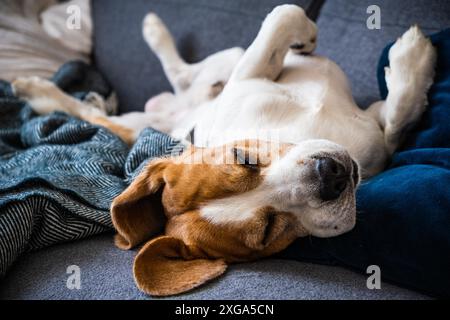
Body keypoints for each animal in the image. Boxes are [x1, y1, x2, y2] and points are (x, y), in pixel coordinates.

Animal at [12, 4, 436, 298]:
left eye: (242, 158)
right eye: (269, 231)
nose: (330, 176)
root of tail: (174, 114)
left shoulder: (254, 75)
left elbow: (284, 15)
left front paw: (406, 63)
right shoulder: (376, 144)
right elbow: (395, 125)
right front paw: (414, 61)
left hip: (227, 59)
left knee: (183, 74)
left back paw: (149, 35)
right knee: (97, 113)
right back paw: (40, 92)